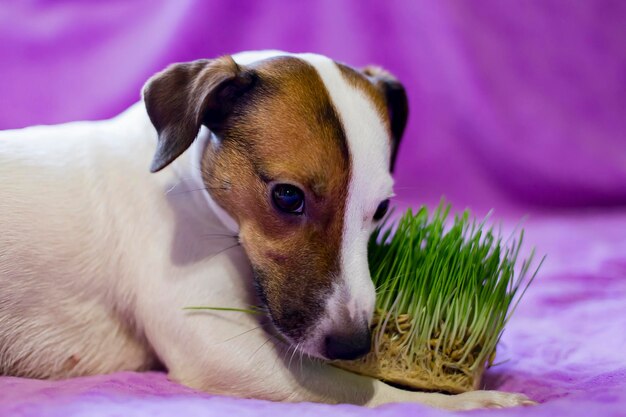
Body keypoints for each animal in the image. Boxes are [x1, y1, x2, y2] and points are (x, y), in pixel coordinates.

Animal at [0, 50, 532, 408]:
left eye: (381, 208)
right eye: (287, 197)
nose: (353, 344)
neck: (187, 181)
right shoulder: (219, 350)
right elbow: (363, 388)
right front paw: (460, 401)